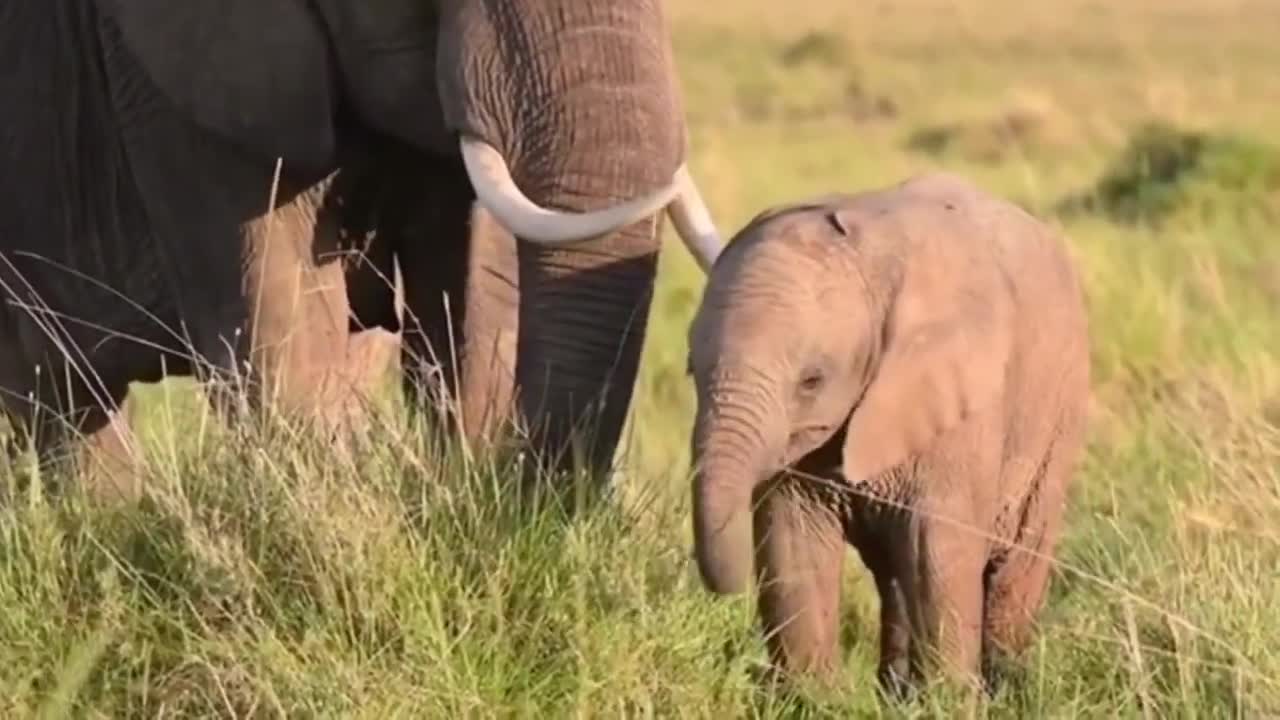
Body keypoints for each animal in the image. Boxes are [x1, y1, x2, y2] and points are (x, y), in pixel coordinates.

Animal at [691, 172, 1090, 691]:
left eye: (812, 380)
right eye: (691, 370)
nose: (726, 592)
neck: (866, 259)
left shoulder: (959, 404)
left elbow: (939, 548)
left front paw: (951, 699)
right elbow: (793, 538)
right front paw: (812, 699)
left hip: (1058, 414)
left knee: (1014, 564)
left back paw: (1008, 685)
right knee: (896, 571)